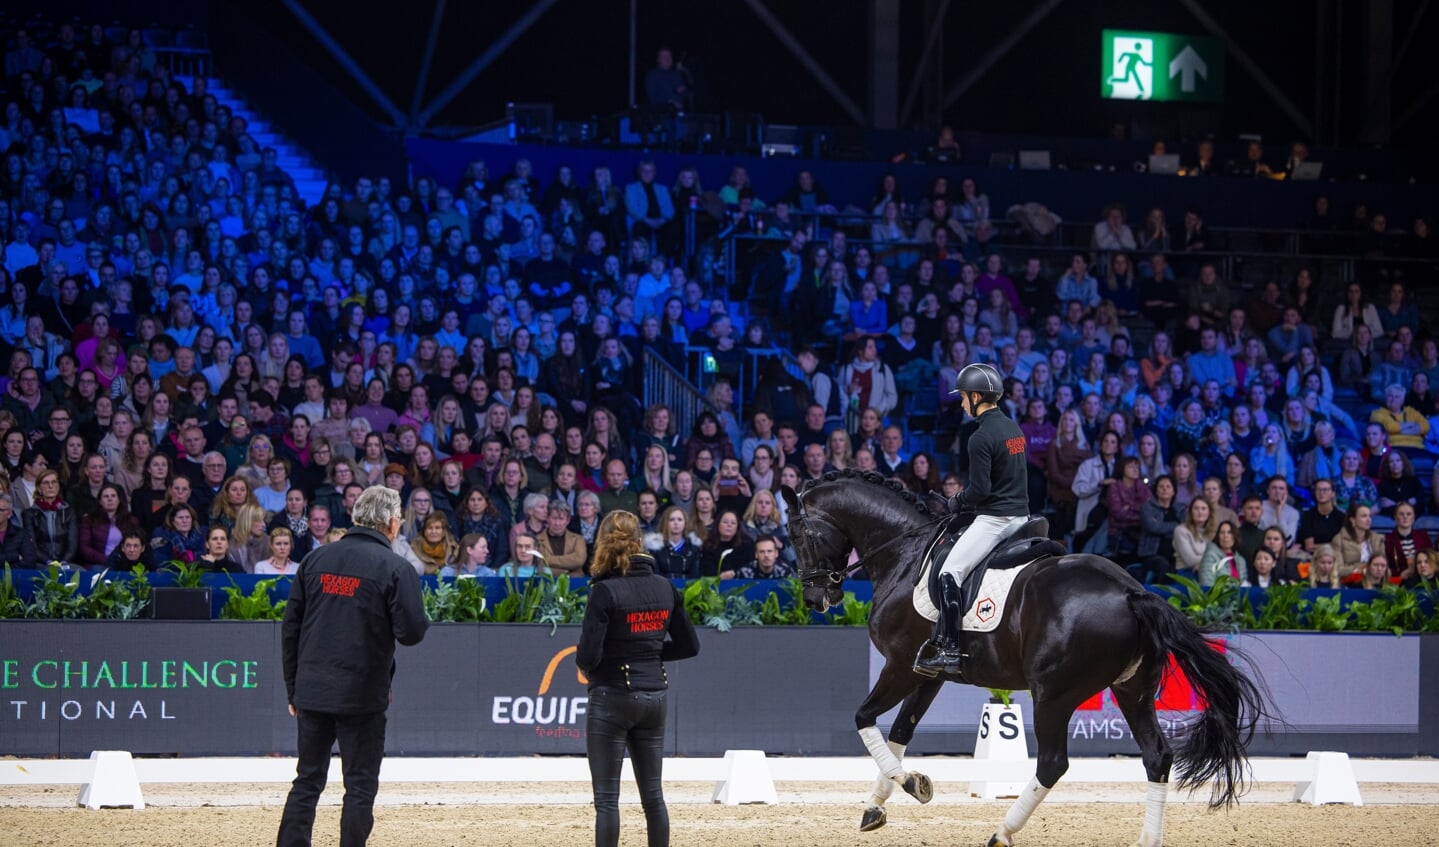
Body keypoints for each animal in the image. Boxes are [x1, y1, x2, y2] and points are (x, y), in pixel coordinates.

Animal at [782, 468, 1266, 845]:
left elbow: (864, 719)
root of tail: (1132, 592)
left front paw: (912, 784)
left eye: (795, 533)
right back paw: (1148, 839)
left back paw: (1001, 834)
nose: (814, 598)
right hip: (1134, 691)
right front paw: (878, 805)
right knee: (1157, 758)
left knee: (1053, 763)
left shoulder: (900, 665)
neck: (905, 553)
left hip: (1053, 694)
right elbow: (901, 733)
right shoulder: (929, 674)